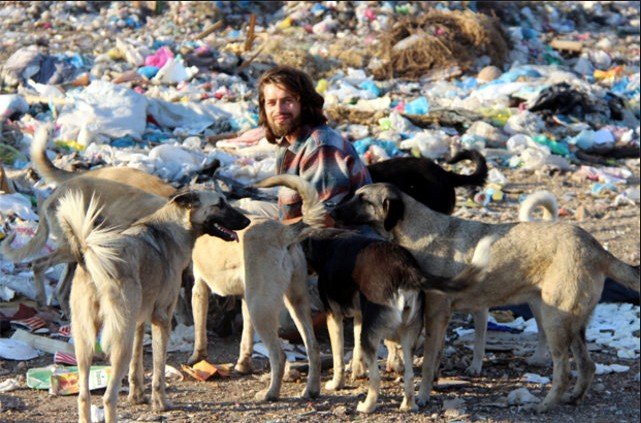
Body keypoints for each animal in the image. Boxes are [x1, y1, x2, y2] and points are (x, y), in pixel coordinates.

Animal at [57, 189, 250, 423]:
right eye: (220, 204)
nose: (247, 221)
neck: (174, 226)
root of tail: (90, 257)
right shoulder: (162, 319)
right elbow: (158, 369)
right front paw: (161, 403)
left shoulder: (139, 322)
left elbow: (137, 364)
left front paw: (137, 396)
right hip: (120, 341)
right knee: (108, 398)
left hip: (85, 343)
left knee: (84, 397)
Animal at [186, 181, 324, 402]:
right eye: (220, 204)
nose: (243, 221)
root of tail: (283, 232)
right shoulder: (245, 298)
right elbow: (246, 337)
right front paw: (243, 365)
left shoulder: (199, 288)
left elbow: (200, 330)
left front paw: (196, 358)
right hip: (295, 303)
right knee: (313, 348)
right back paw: (311, 390)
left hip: (261, 309)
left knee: (279, 356)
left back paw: (270, 394)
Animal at [252, 175, 492, 414]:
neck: (330, 240)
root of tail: (406, 271)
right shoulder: (360, 316)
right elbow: (356, 348)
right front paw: (358, 370)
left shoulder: (334, 316)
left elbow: (338, 356)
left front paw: (337, 382)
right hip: (407, 333)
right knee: (409, 374)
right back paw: (408, 404)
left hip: (374, 334)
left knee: (376, 381)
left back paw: (367, 405)